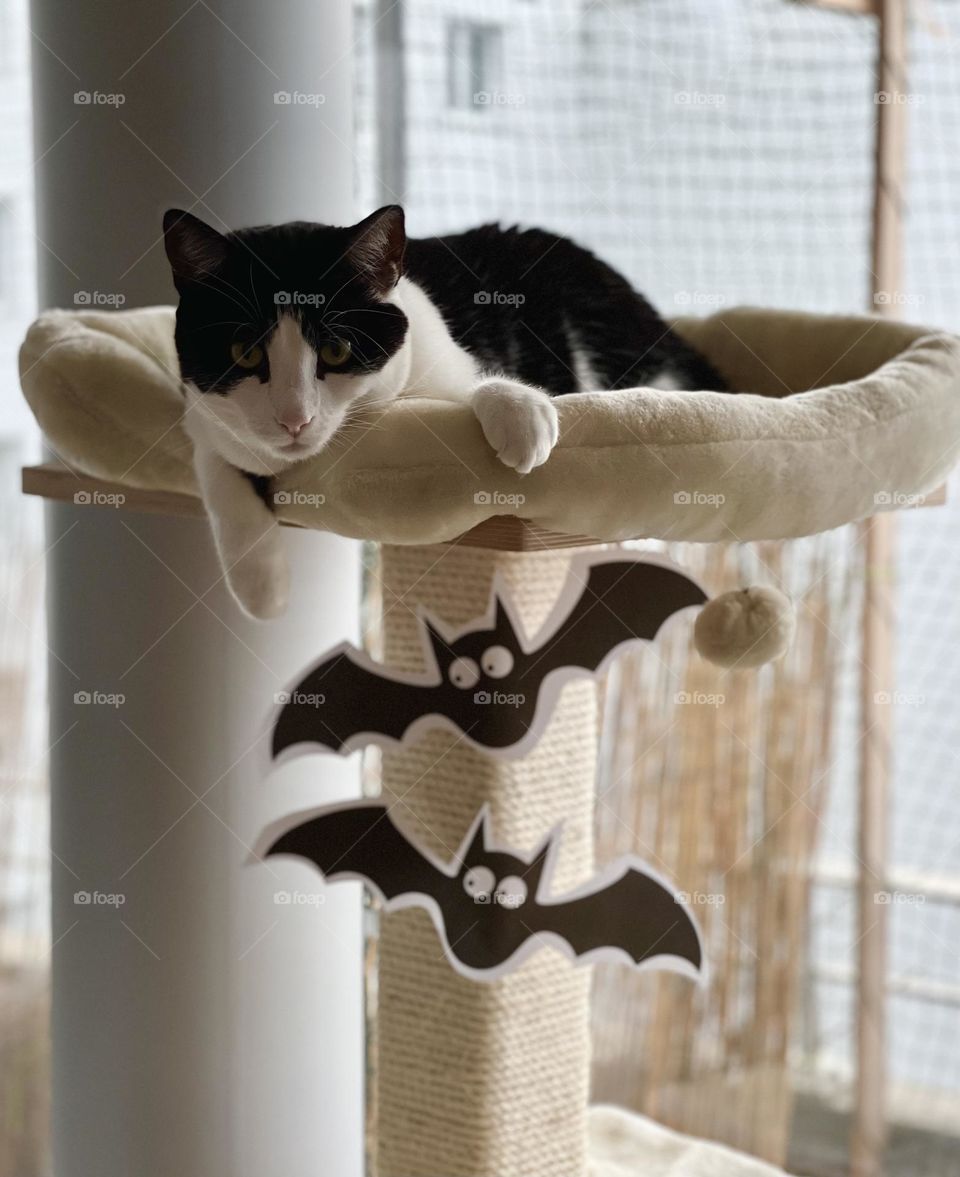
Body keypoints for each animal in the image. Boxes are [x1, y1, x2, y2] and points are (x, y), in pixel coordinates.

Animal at [163, 205, 720, 621]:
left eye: (337, 350)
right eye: (245, 353)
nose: (294, 418)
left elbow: (471, 384)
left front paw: (521, 413)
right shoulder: (202, 417)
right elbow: (217, 468)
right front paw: (261, 586)